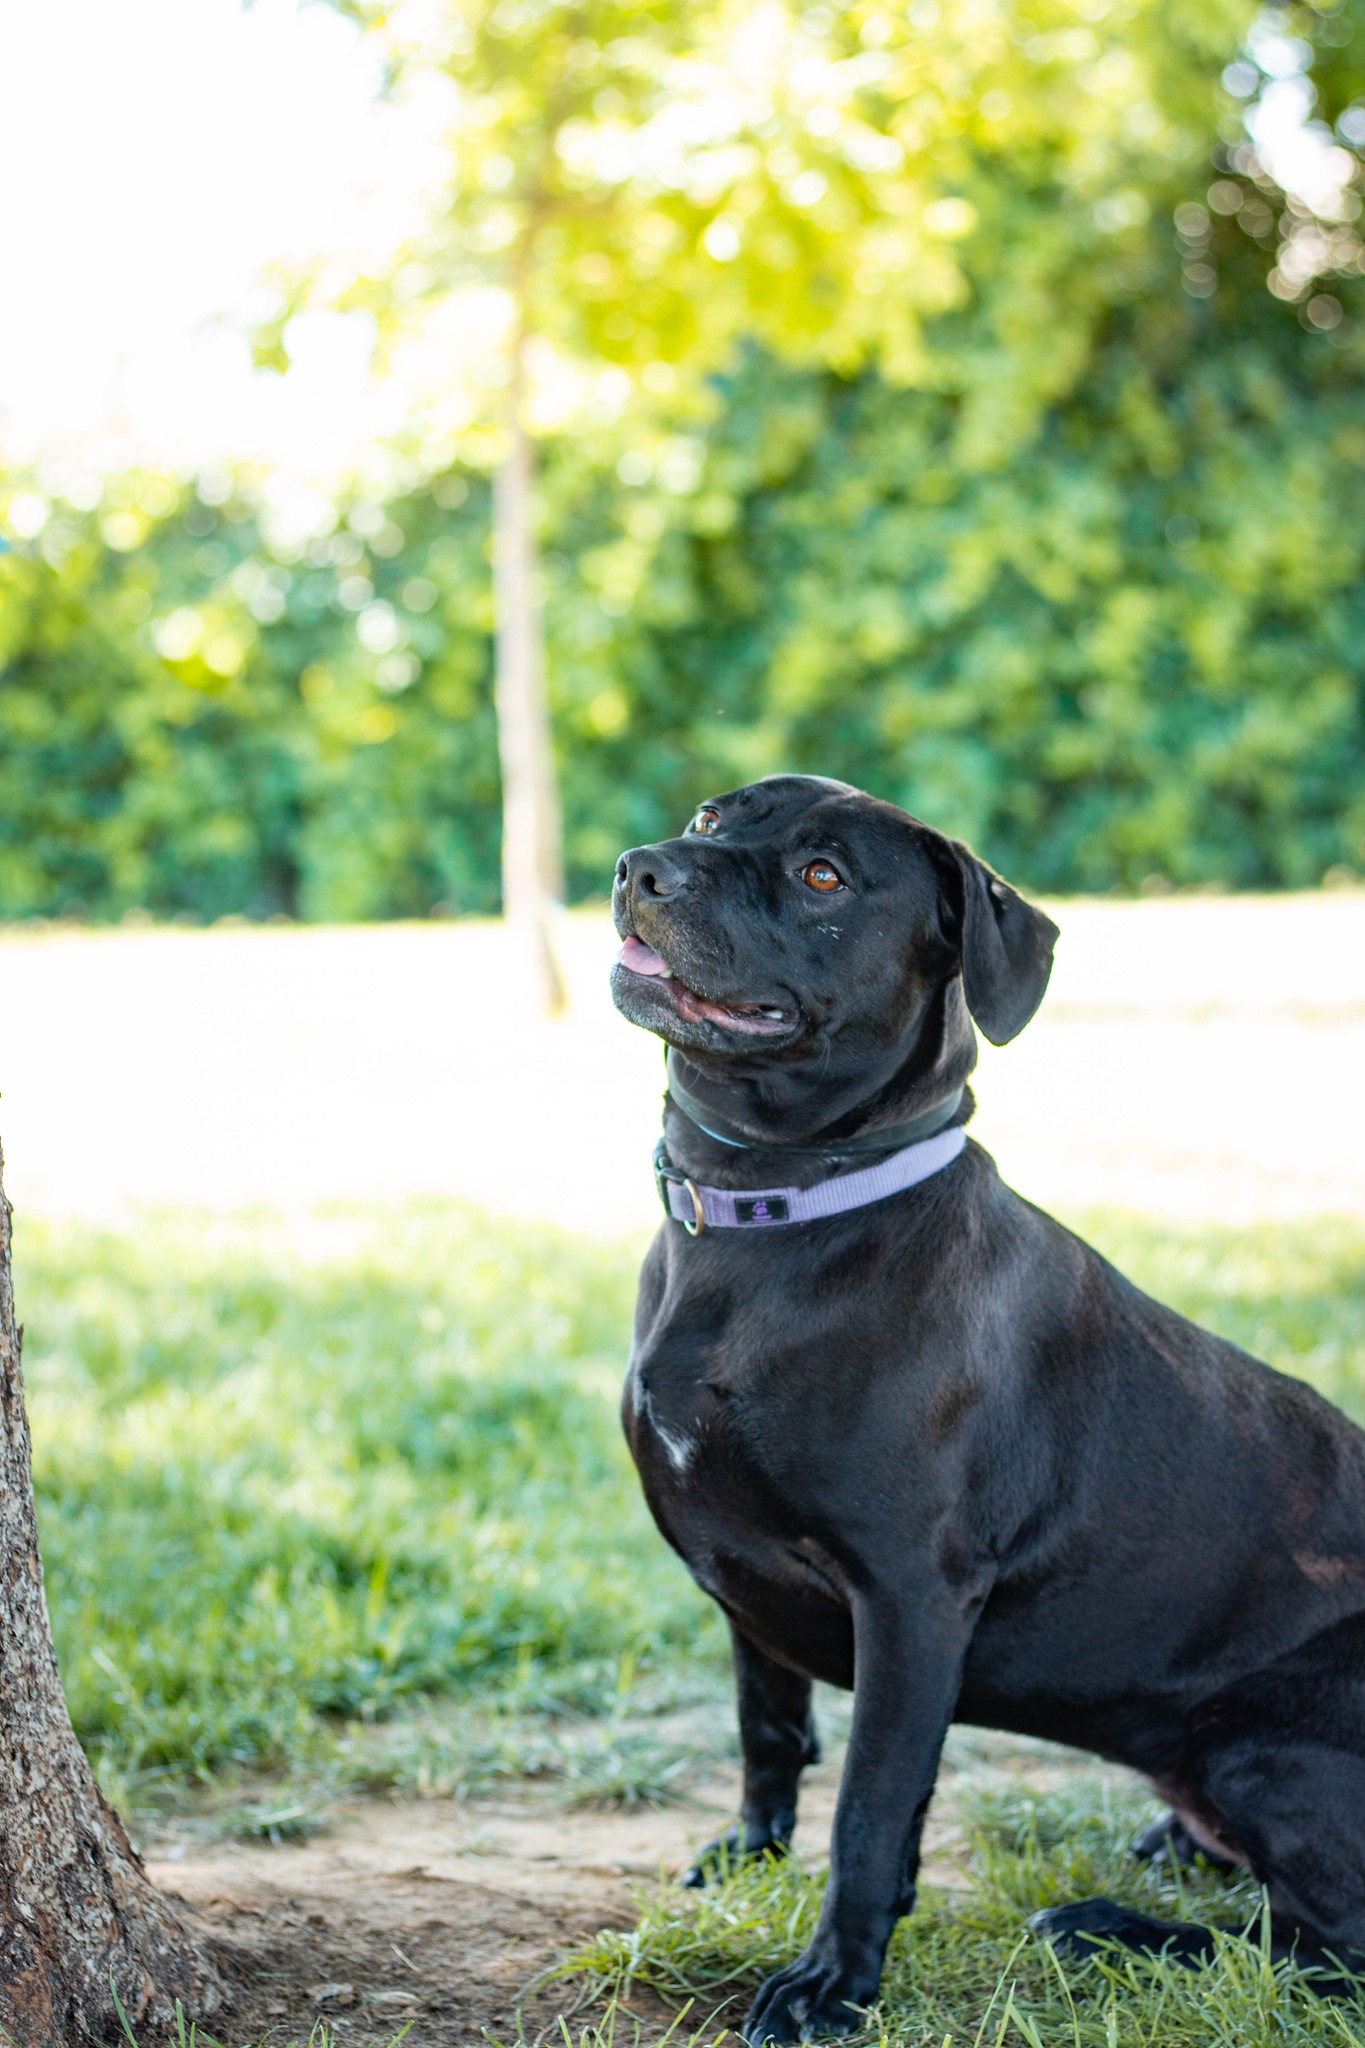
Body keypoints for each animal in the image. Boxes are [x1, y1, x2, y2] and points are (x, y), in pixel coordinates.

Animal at [613, 774, 1365, 2039]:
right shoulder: (744, 1574)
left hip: (1263, 1734)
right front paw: (751, 1857)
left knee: (1324, 1948)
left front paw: (830, 1984)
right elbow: (771, 1732)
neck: (775, 1212)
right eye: (714, 820)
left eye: (824, 875)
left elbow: (871, 1805)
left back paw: (1111, 1929)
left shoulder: (911, 1598)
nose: (640, 867)